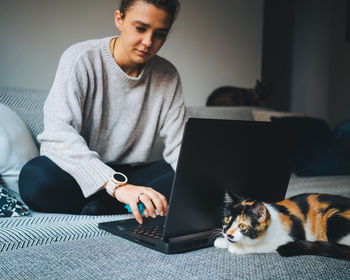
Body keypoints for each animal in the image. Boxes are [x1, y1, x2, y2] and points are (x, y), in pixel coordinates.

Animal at [213, 192, 350, 260]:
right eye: (226, 219)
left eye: (242, 226)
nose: (227, 233)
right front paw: (221, 241)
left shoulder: (285, 239)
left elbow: (258, 246)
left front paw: (237, 248)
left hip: (333, 218)